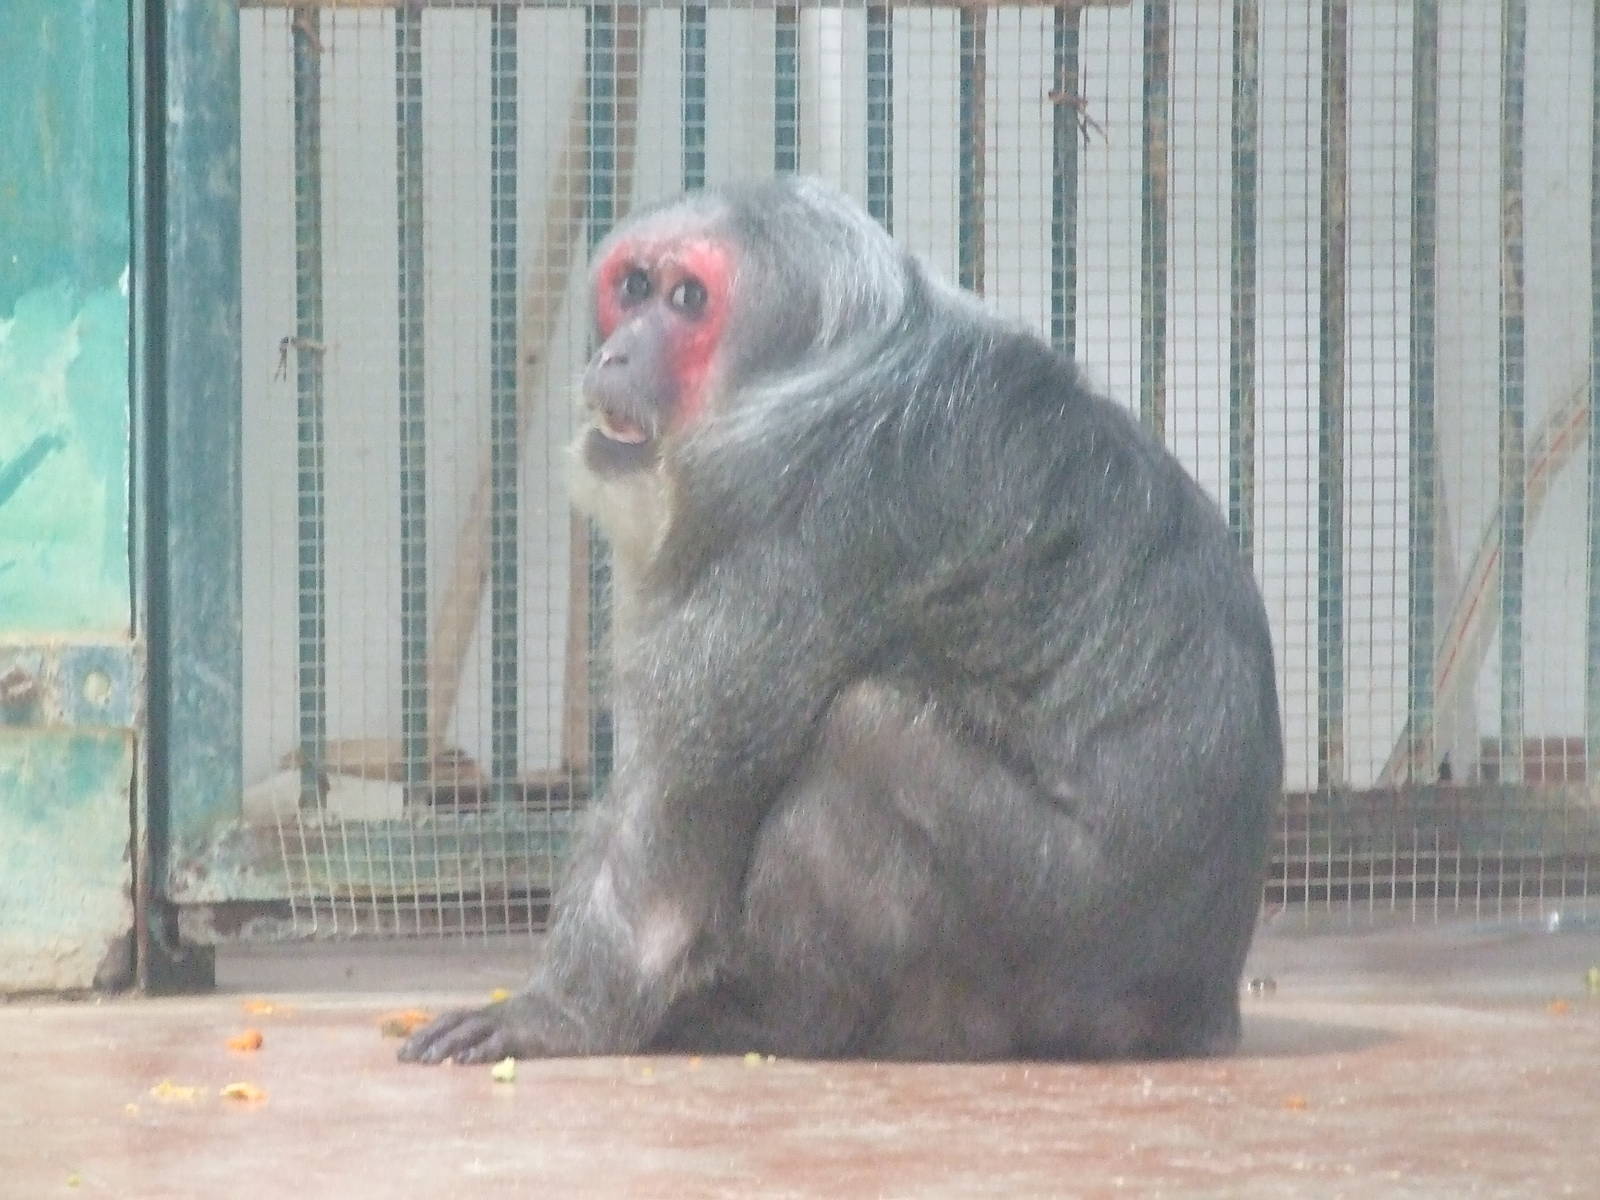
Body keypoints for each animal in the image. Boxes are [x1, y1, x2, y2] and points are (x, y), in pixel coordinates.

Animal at [400, 175, 1281, 1066]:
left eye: (687, 299)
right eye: (635, 287)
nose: (614, 356)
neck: (805, 379)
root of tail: (1195, 1007)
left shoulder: (799, 520)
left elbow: (679, 817)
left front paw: (560, 1013)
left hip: (1062, 936)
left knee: (867, 734)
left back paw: (795, 1020)